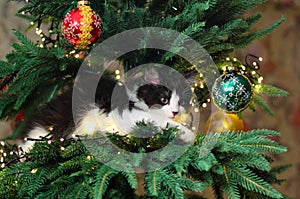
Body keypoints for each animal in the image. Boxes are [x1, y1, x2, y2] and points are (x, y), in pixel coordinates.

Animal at [20, 70, 195, 150]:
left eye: (180, 102)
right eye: (164, 99)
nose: (175, 111)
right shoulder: (127, 114)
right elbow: (161, 122)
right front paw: (190, 135)